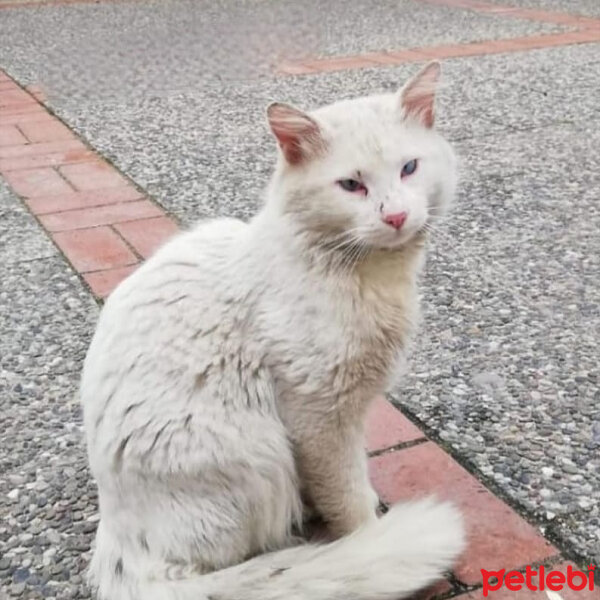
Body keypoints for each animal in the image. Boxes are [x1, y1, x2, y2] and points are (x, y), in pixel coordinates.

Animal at [79, 62, 464, 600]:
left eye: (410, 168)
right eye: (351, 185)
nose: (395, 216)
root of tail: (126, 554)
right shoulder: (319, 416)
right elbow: (346, 496)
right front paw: (369, 535)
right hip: (255, 454)